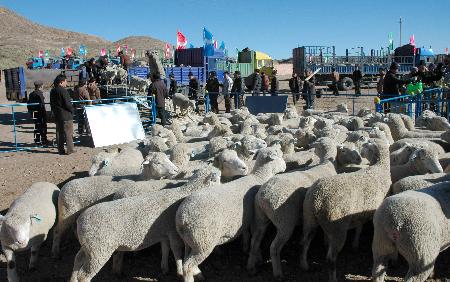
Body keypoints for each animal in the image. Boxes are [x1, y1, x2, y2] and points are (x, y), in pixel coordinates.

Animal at [70, 166, 221, 280]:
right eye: (219, 178)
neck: (184, 192)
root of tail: (80, 221)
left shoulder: (163, 232)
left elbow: (165, 249)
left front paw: (164, 267)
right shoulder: (173, 232)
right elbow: (176, 251)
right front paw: (179, 271)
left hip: (89, 247)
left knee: (77, 260)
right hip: (99, 250)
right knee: (84, 275)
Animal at [174, 145, 286, 282]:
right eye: (279, 156)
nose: (285, 166)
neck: (259, 177)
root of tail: (182, 218)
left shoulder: (246, 220)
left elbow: (248, 236)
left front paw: (246, 249)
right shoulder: (256, 220)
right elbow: (255, 239)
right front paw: (256, 258)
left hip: (190, 240)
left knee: (186, 258)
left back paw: (198, 273)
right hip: (203, 241)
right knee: (188, 266)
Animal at [300, 139, 392, 282]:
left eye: (367, 145)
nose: (360, 156)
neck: (380, 168)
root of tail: (318, 197)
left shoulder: (360, 213)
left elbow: (359, 229)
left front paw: (355, 245)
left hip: (309, 218)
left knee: (305, 242)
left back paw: (304, 265)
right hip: (338, 226)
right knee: (330, 258)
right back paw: (333, 277)